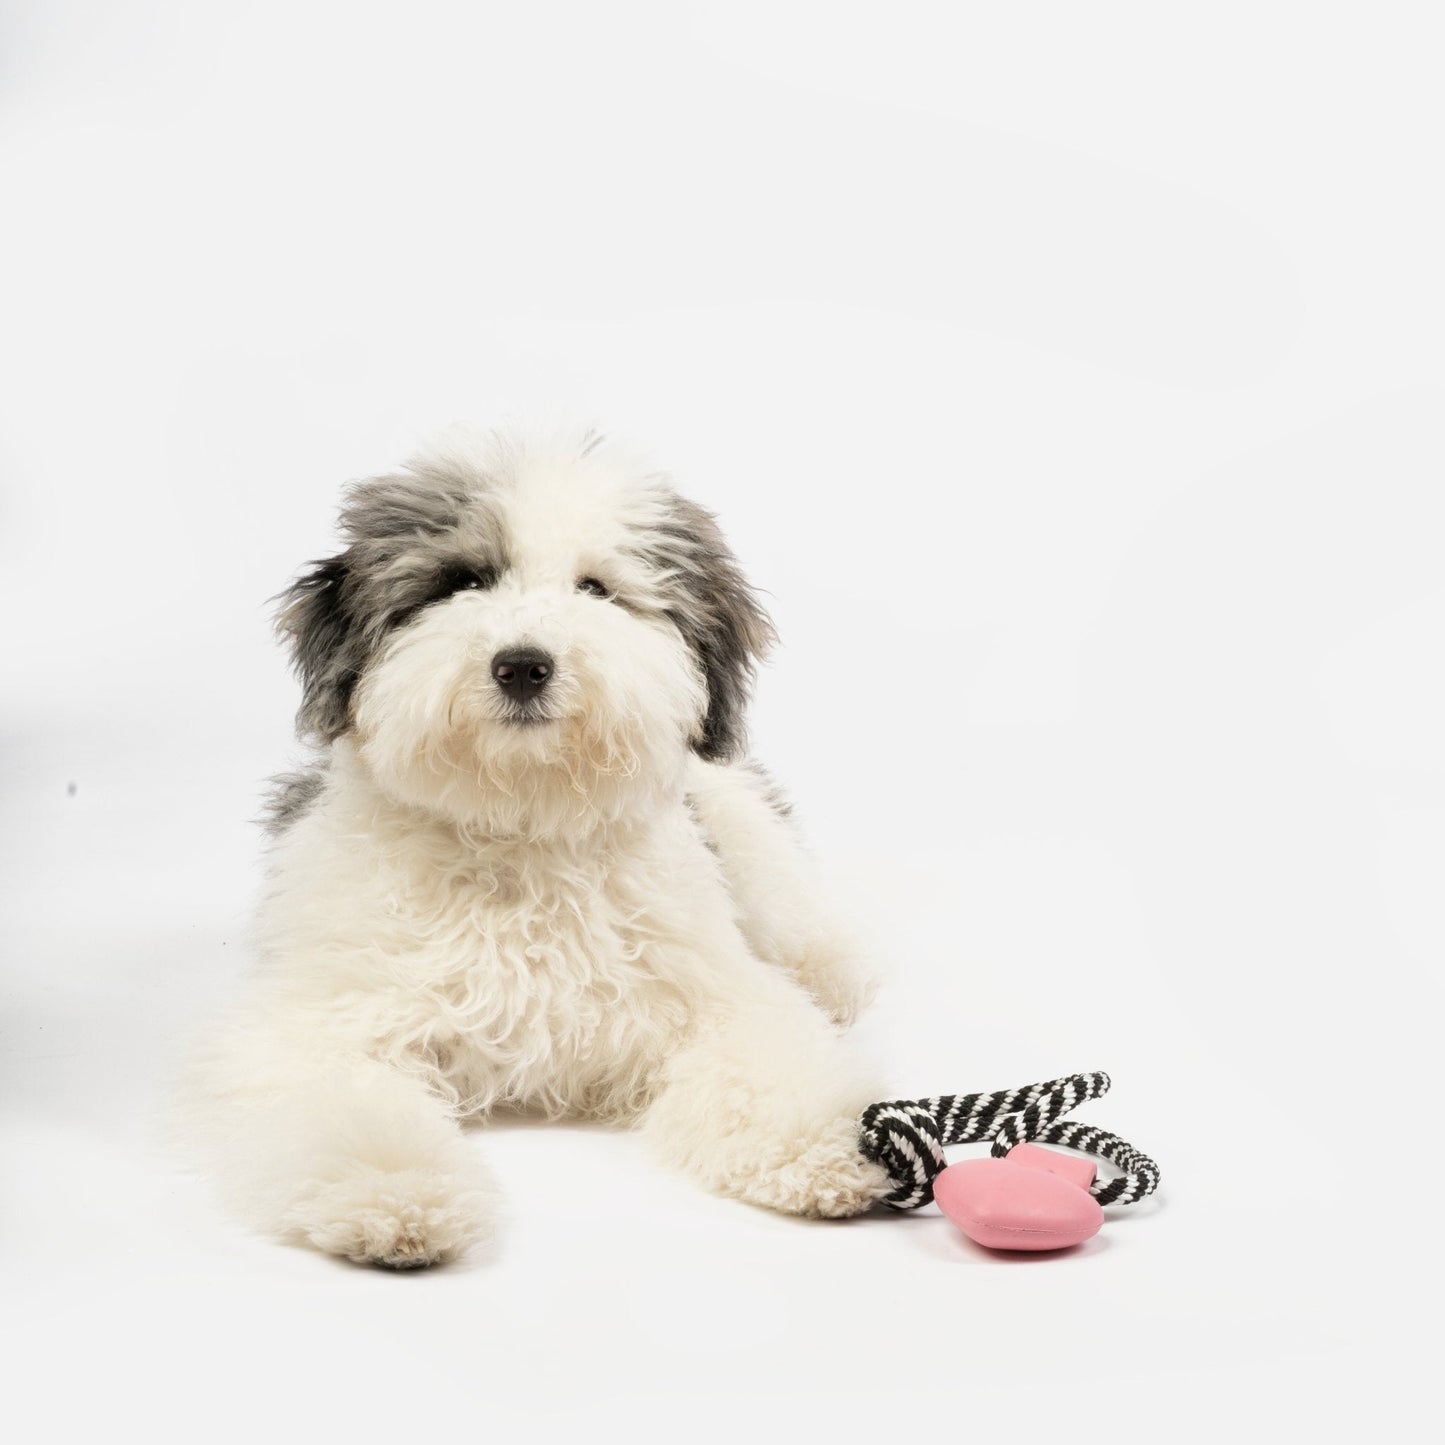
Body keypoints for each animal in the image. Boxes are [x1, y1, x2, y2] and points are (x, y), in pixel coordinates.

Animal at [180, 421, 890, 1265]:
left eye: (596, 588)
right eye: (462, 580)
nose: (522, 664)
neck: (521, 831)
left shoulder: (718, 993)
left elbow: (773, 1065)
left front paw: (830, 1150)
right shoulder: (318, 1022)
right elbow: (352, 1109)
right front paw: (395, 1199)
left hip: (741, 823)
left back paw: (828, 973)